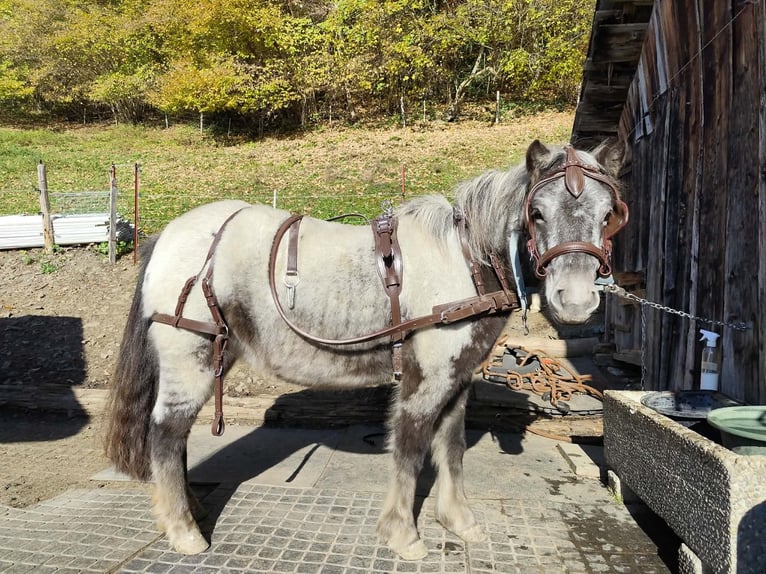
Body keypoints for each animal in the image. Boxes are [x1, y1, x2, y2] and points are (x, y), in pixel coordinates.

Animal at [104, 139, 627, 560]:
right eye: (537, 213)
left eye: (608, 215)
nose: (576, 301)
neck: (465, 260)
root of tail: (169, 236)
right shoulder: (424, 382)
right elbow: (411, 449)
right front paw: (404, 535)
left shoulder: (457, 381)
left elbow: (451, 447)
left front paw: (458, 522)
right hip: (190, 363)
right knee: (165, 435)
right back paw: (184, 530)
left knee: (175, 439)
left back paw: (188, 508)